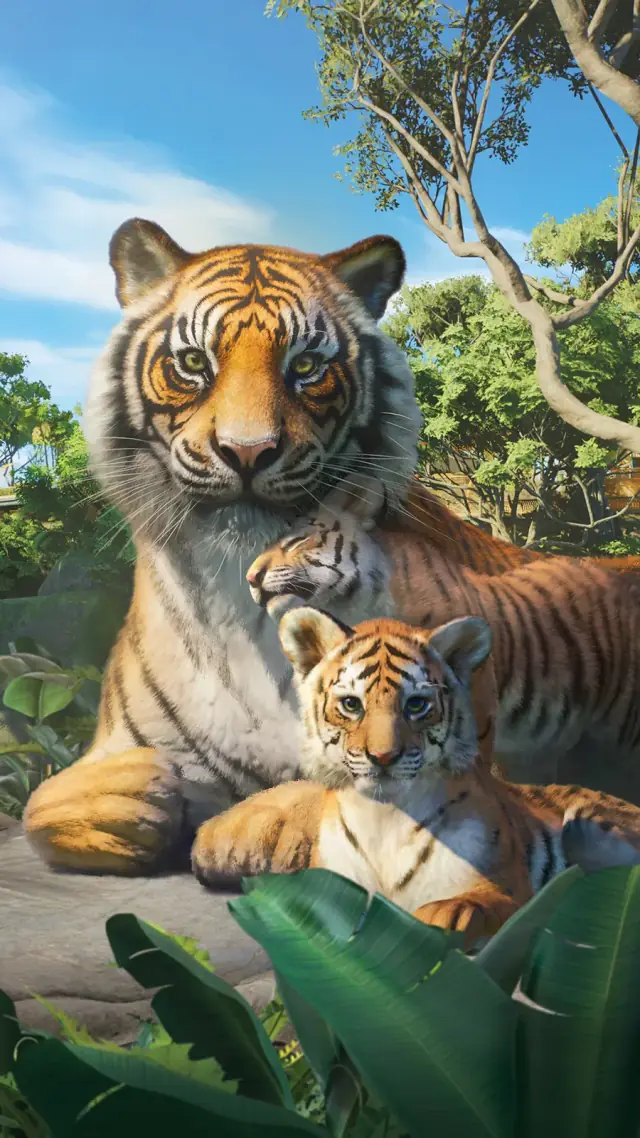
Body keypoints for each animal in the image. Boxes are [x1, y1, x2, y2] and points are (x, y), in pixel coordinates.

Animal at [191, 607, 640, 949]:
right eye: (351, 705)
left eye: (417, 705)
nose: (383, 756)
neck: (384, 817)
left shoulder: (509, 886)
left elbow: (474, 903)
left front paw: (445, 917)